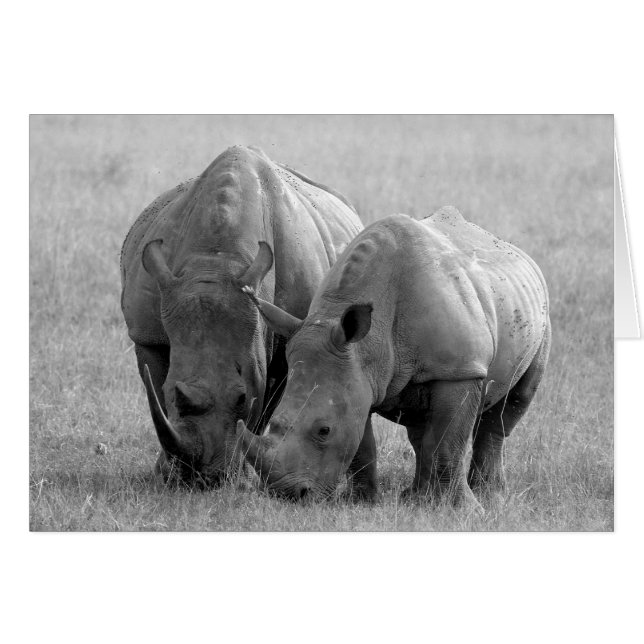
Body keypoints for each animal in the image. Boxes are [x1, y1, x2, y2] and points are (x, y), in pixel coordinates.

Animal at [120, 145, 362, 485]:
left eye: (241, 398)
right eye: (171, 392)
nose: (202, 479)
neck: (216, 260)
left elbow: (265, 406)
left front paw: (242, 480)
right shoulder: (147, 334)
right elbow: (154, 388)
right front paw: (165, 475)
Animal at [237, 207, 551, 508]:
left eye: (324, 430)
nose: (287, 494)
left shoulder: (460, 369)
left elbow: (449, 445)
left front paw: (465, 511)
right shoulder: (357, 377)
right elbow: (362, 447)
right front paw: (362, 504)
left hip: (538, 314)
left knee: (509, 407)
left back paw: (487, 496)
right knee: (421, 429)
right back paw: (417, 498)